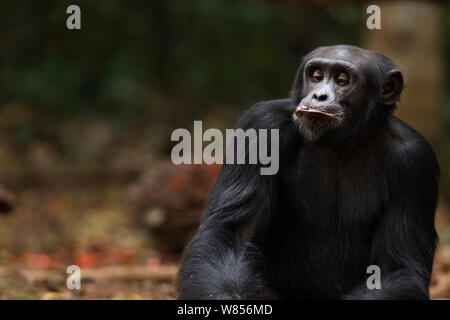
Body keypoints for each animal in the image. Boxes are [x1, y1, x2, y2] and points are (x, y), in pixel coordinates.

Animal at [177, 45, 440, 300]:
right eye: (316, 76)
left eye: (343, 80)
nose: (319, 95)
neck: (340, 143)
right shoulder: (261, 126)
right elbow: (231, 234)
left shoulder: (416, 161)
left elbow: (394, 268)